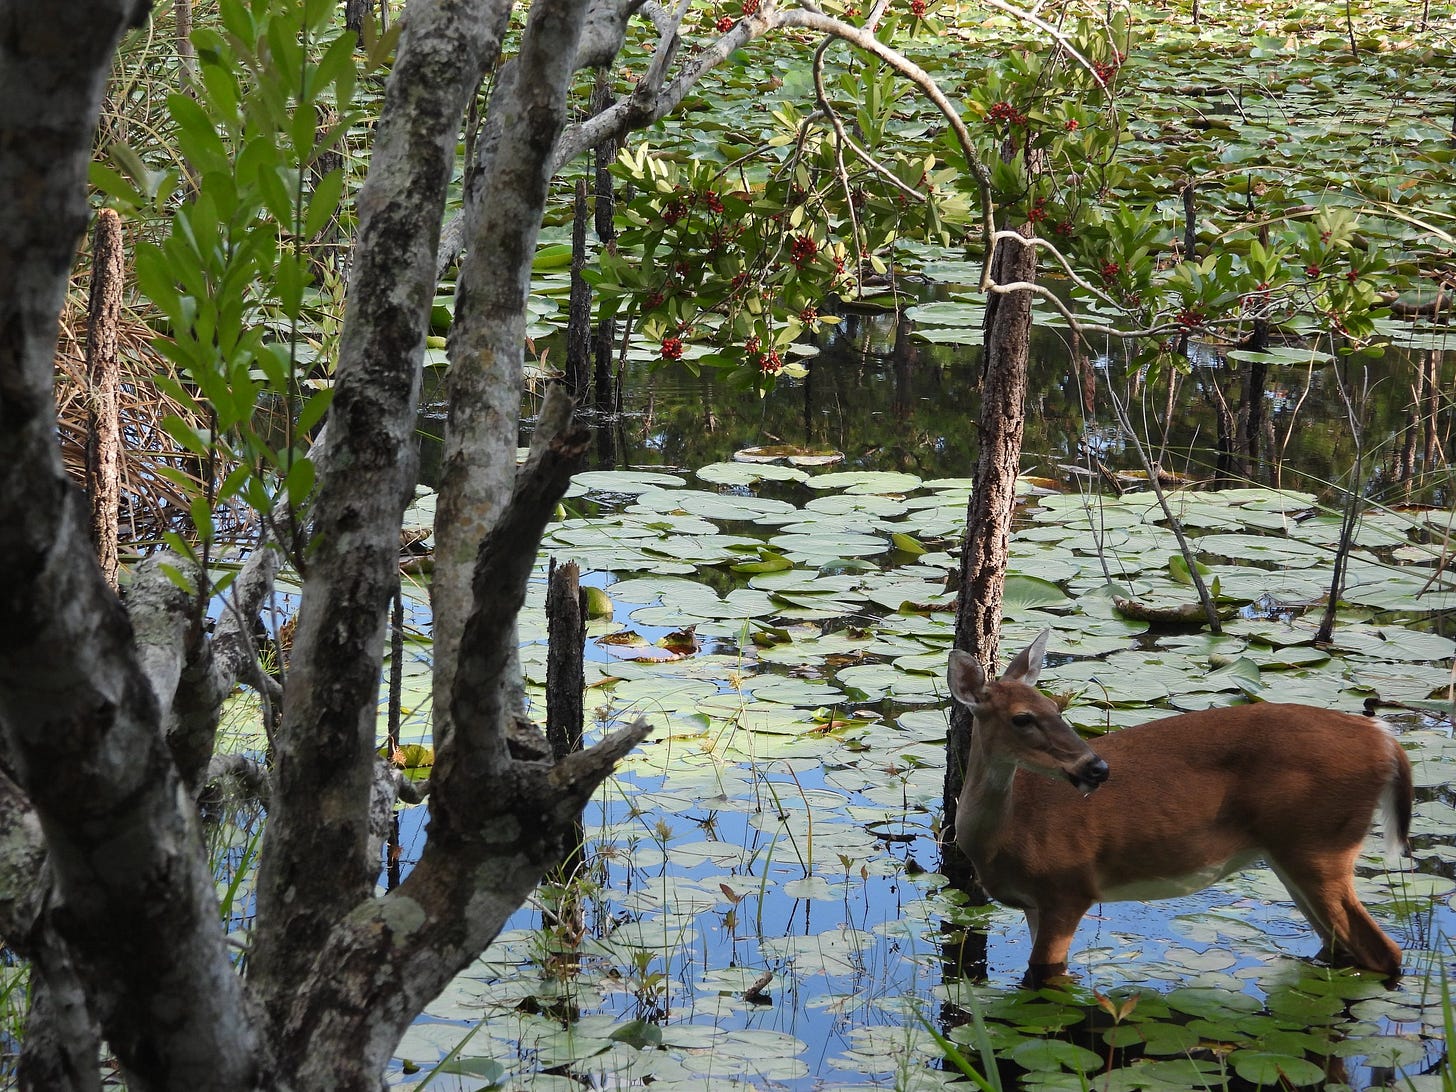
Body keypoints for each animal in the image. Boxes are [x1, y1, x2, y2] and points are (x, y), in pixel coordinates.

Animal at [948, 630, 1412, 988]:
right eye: (1022, 718)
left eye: (1057, 708)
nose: (1096, 767)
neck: (1006, 836)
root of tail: (1385, 740)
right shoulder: (1034, 903)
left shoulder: (1068, 887)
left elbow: (1047, 974)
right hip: (1293, 853)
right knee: (1342, 948)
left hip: (1322, 844)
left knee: (1384, 950)